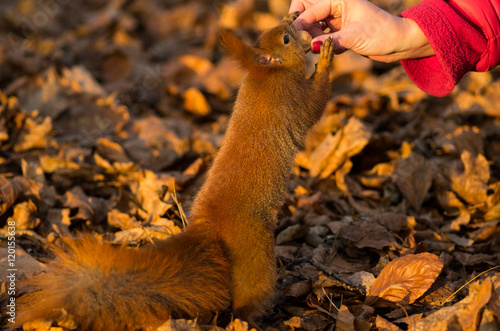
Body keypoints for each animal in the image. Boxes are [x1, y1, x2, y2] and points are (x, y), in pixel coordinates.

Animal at [15, 11, 334, 330]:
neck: (264, 76)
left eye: (280, 29)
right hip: (255, 254)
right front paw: (327, 57)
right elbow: (315, 105)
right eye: (285, 39)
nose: (294, 19)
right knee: (248, 300)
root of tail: (210, 226)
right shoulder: (293, 100)